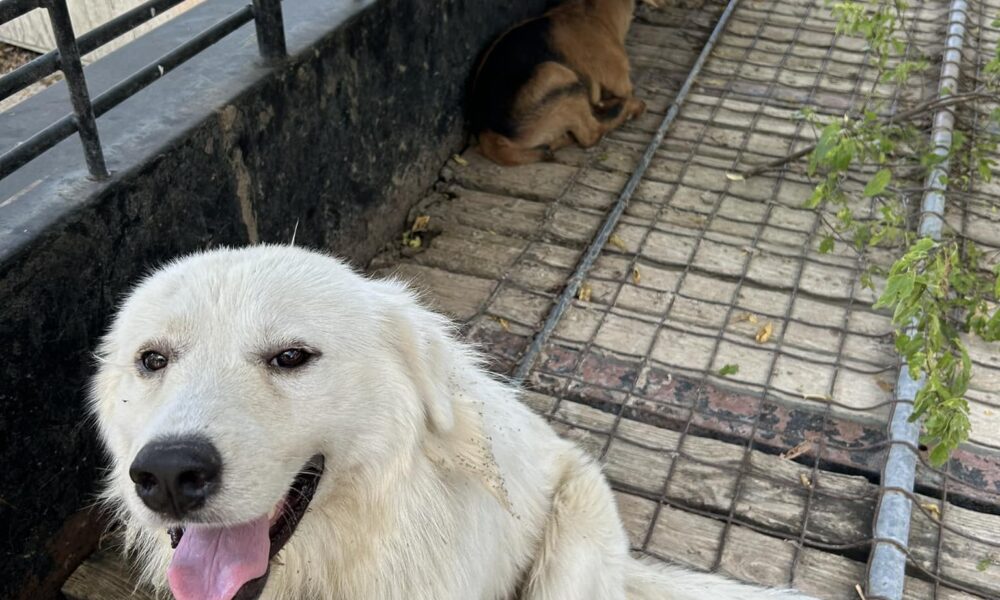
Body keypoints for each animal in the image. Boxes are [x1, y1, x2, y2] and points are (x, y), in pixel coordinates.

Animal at [468, 0, 648, 165]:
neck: (588, 9)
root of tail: (488, 137)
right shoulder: (620, 82)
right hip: (557, 75)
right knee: (592, 134)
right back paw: (630, 108)